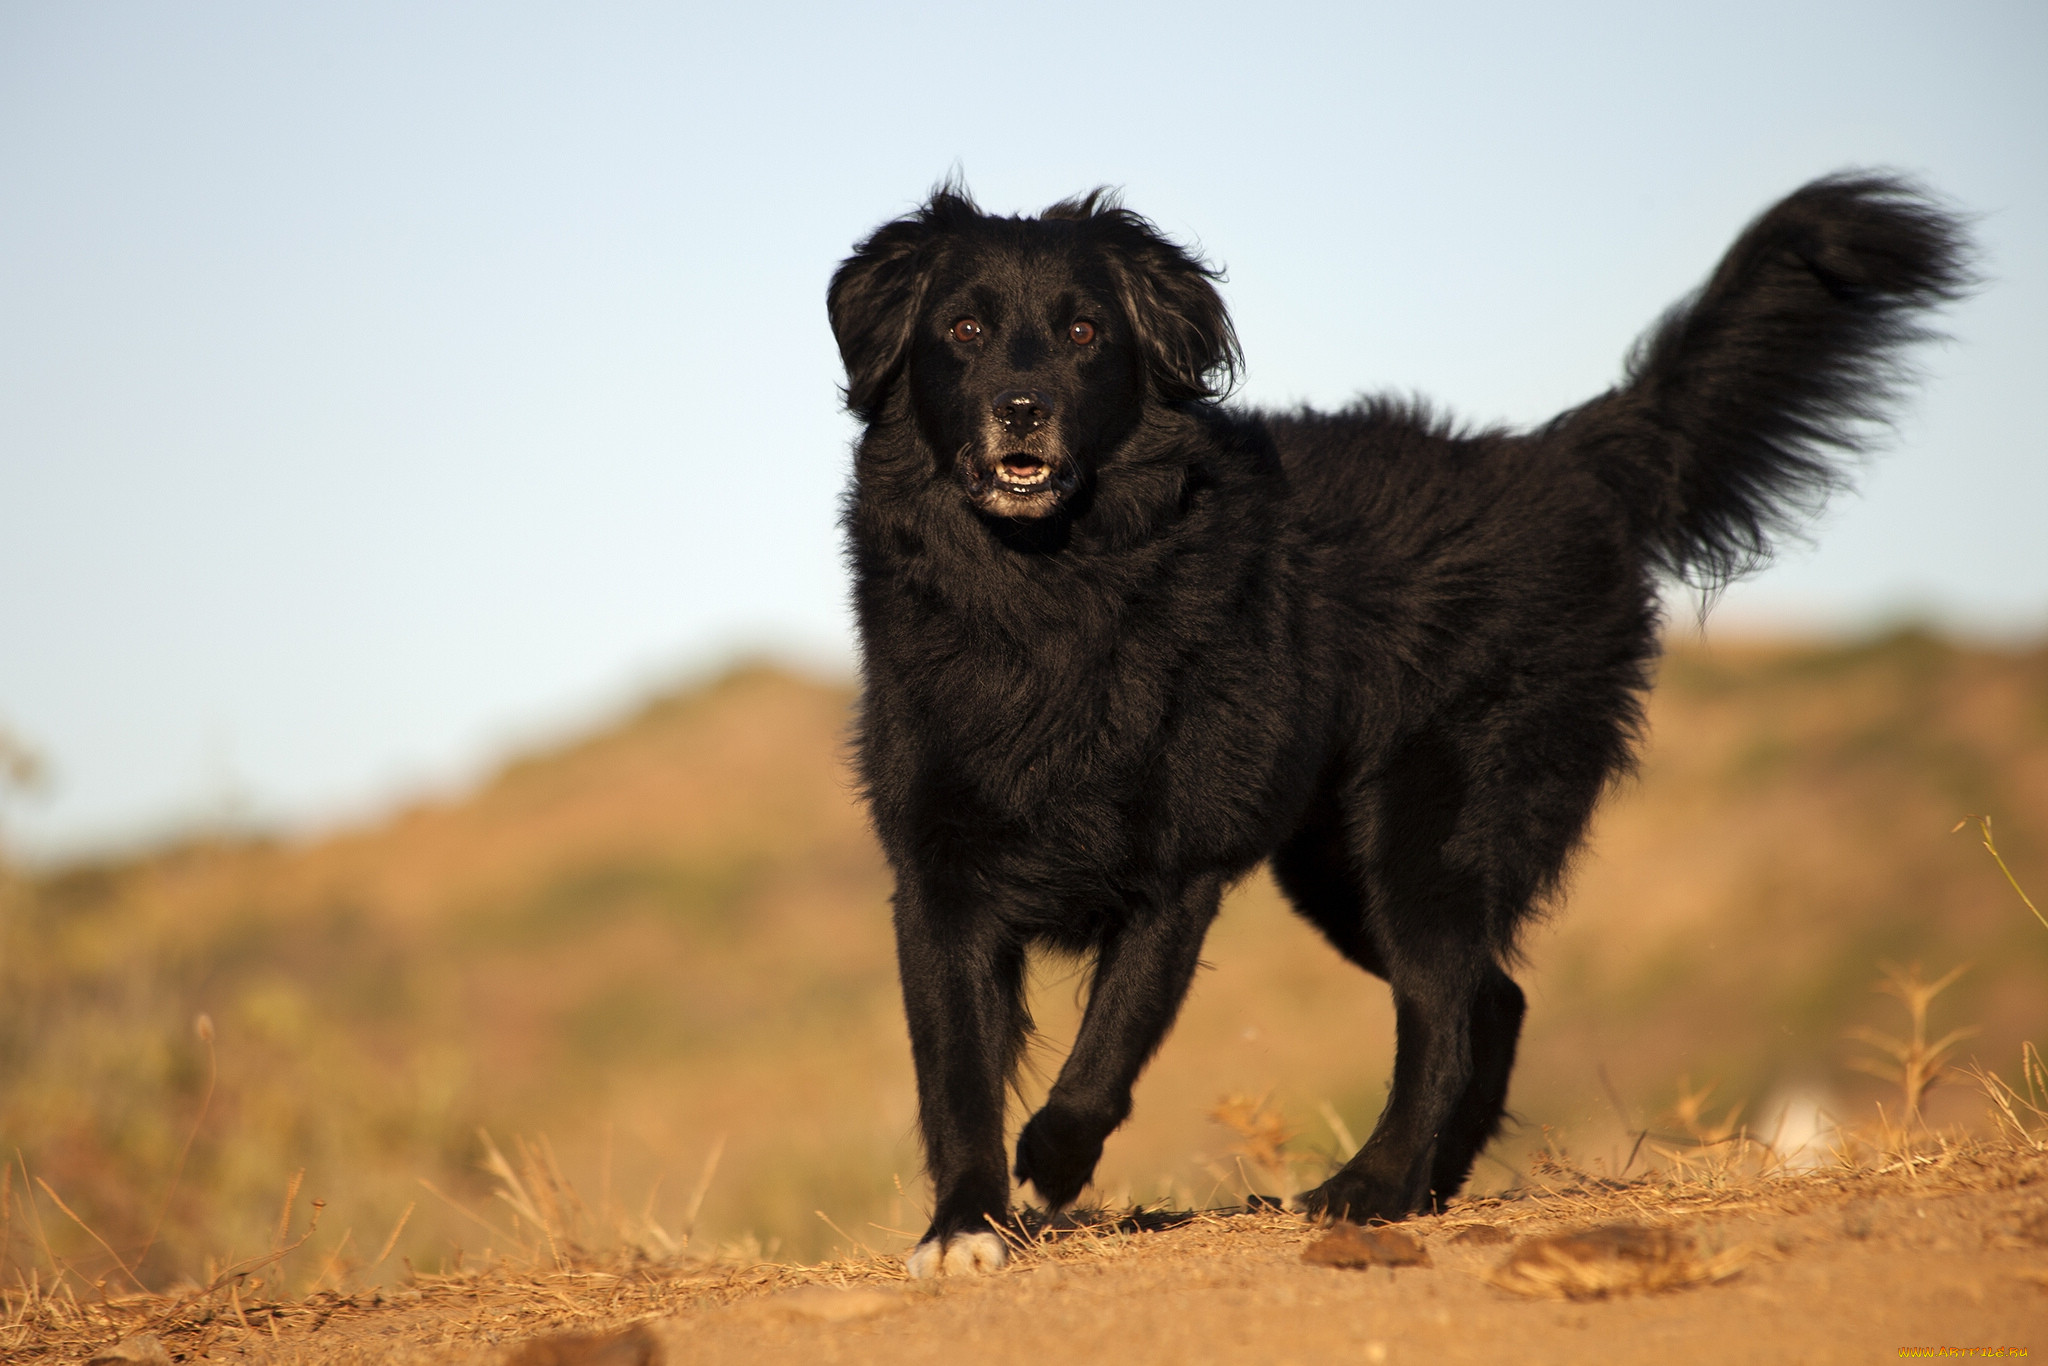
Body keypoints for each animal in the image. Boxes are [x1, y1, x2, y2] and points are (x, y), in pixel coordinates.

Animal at [827, 176, 1966, 1277]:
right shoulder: (940, 874)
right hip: (1339, 868)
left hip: (1431, 827)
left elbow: (1109, 1043)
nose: (1021, 409)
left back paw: (1372, 1187)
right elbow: (956, 1073)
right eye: (963, 330)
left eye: (1084, 333)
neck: (1045, 590)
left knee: (1442, 1003)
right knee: (1489, 997)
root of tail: (1562, 458)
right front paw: (963, 1227)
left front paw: (1054, 1160)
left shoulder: (1178, 865)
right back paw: (1427, 1182)